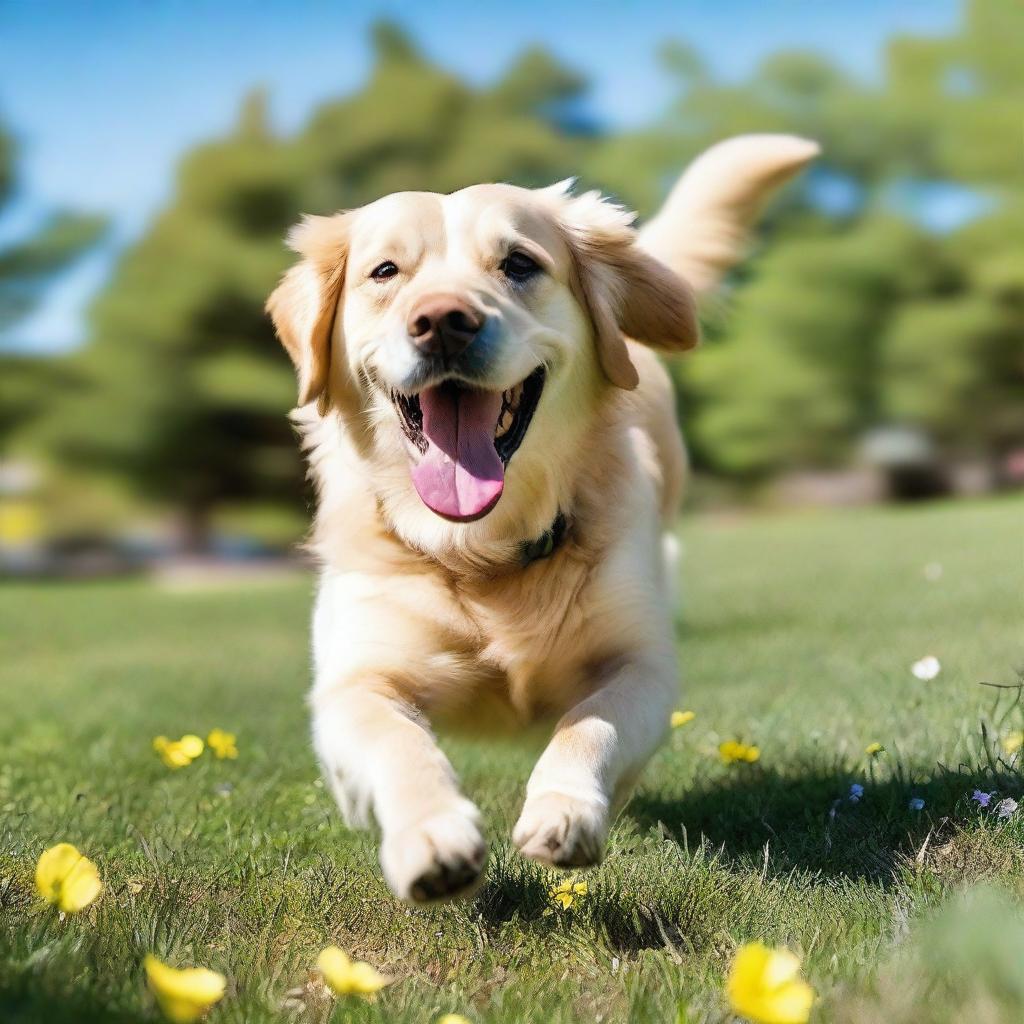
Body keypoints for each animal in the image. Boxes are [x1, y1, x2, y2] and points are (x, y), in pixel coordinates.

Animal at [266, 132, 815, 901]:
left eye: (520, 263)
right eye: (385, 271)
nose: (442, 322)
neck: (480, 549)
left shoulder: (641, 663)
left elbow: (590, 724)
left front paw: (565, 810)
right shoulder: (356, 678)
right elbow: (396, 741)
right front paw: (431, 836)